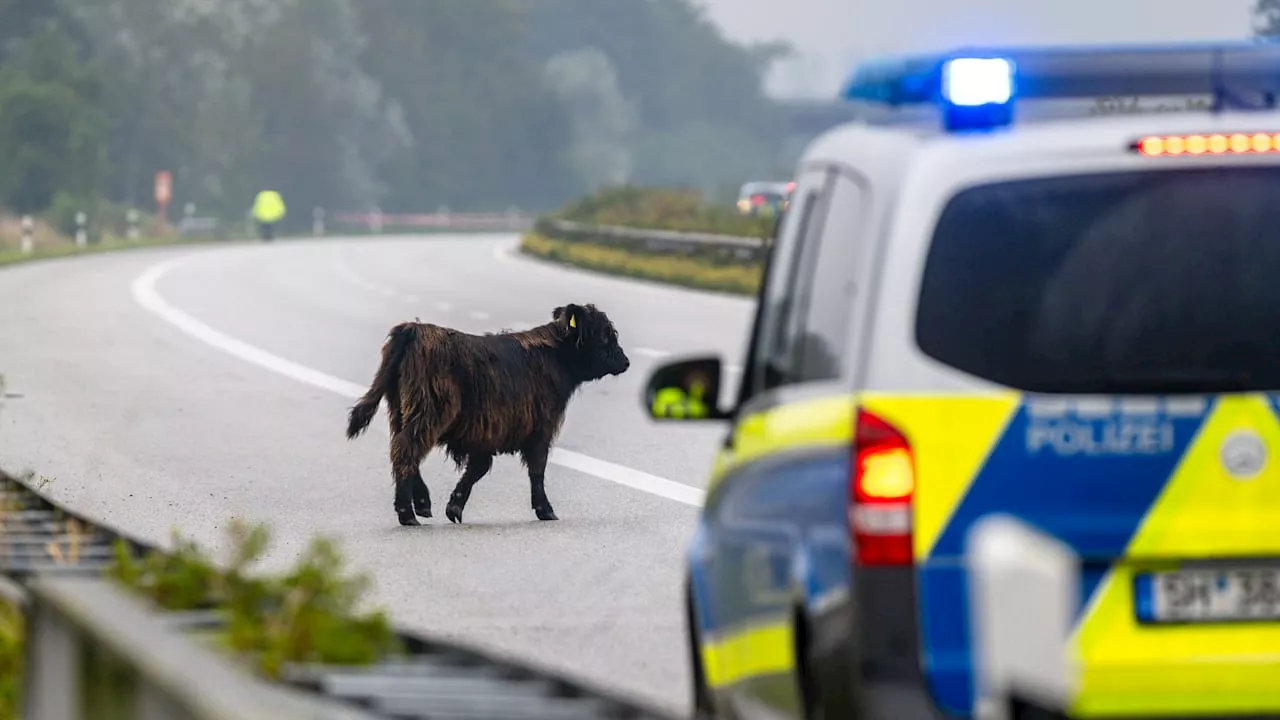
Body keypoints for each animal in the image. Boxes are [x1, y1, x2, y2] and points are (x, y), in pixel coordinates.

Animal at [345, 299, 629, 525]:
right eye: (605, 336)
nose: (625, 361)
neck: (555, 357)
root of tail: (413, 328)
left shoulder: (486, 430)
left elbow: (477, 468)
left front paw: (454, 507)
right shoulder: (539, 427)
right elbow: (536, 469)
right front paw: (546, 511)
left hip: (400, 410)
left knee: (401, 449)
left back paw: (423, 504)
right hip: (430, 411)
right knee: (406, 450)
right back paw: (408, 514)